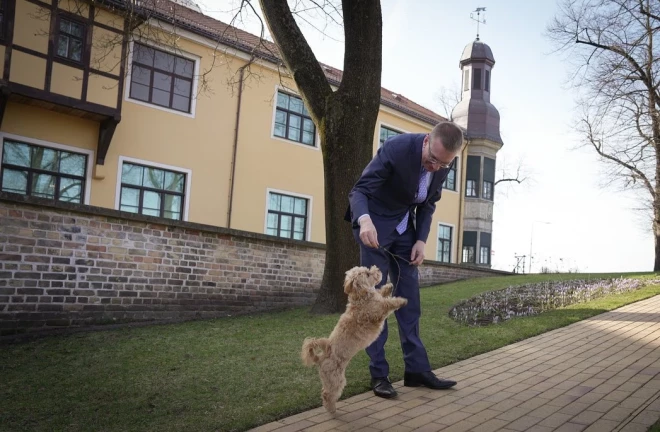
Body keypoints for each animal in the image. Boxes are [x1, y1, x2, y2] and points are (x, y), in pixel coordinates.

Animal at [302, 264, 408, 414]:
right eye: (368, 274)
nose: (377, 268)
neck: (361, 297)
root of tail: (322, 357)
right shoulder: (377, 311)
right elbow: (388, 303)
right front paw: (401, 300)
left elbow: (381, 293)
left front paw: (387, 287)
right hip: (336, 379)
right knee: (327, 394)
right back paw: (331, 409)